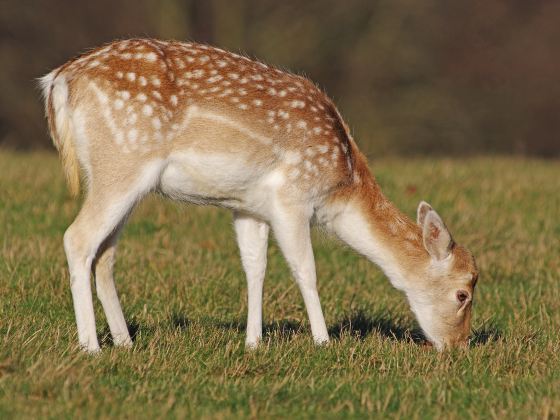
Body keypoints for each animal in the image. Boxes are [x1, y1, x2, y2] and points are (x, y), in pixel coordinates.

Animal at [40, 39, 476, 352]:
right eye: (463, 294)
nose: (457, 347)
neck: (340, 186)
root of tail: (58, 82)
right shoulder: (292, 197)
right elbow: (306, 269)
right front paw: (323, 341)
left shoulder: (248, 207)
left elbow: (255, 268)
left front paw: (253, 342)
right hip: (122, 164)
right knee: (77, 238)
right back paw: (91, 347)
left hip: (115, 178)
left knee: (105, 253)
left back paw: (126, 342)